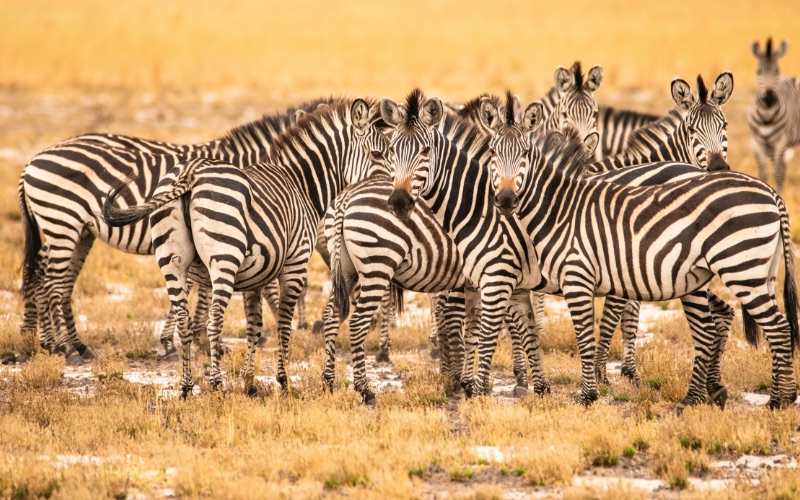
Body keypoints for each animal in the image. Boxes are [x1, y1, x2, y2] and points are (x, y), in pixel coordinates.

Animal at [16, 99, 324, 364]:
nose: (307, 326)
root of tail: (34, 159)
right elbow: (208, 288)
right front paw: (184, 342)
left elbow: (201, 288)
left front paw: (196, 339)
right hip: (61, 220)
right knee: (51, 279)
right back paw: (64, 348)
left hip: (79, 230)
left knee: (51, 275)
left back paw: (60, 343)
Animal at [101, 99, 390, 398]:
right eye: (379, 153)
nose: (393, 194)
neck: (301, 186)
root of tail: (191, 171)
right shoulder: (295, 264)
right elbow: (283, 323)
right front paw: (284, 382)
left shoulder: (256, 276)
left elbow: (254, 326)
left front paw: (250, 383)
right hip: (224, 258)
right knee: (214, 320)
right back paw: (216, 384)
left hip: (172, 261)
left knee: (183, 320)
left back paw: (186, 387)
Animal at [490, 127, 796, 412]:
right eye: (493, 153)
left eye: (525, 154)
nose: (505, 200)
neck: (561, 210)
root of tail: (770, 192)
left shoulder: (577, 277)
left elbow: (584, 339)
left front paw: (587, 396)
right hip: (760, 272)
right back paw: (769, 396)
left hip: (742, 269)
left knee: (779, 328)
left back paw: (776, 402)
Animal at [752, 36, 800, 193]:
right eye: (758, 71)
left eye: (777, 71)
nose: (769, 98)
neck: (766, 116)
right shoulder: (756, 143)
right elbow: (762, 173)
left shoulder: (781, 142)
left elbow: (778, 173)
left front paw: (780, 193)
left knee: (781, 168)